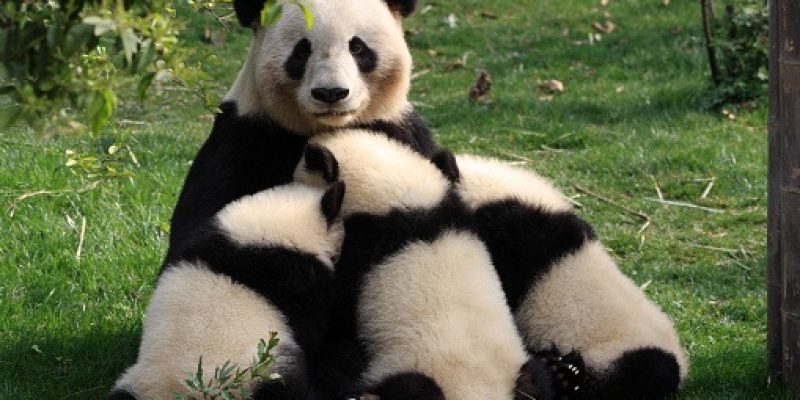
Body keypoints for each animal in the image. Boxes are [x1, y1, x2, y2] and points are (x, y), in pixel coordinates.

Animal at [164, 0, 438, 264]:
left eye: (358, 48)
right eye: (302, 50)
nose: (331, 93)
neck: (326, 129)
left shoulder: (399, 130)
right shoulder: (245, 136)